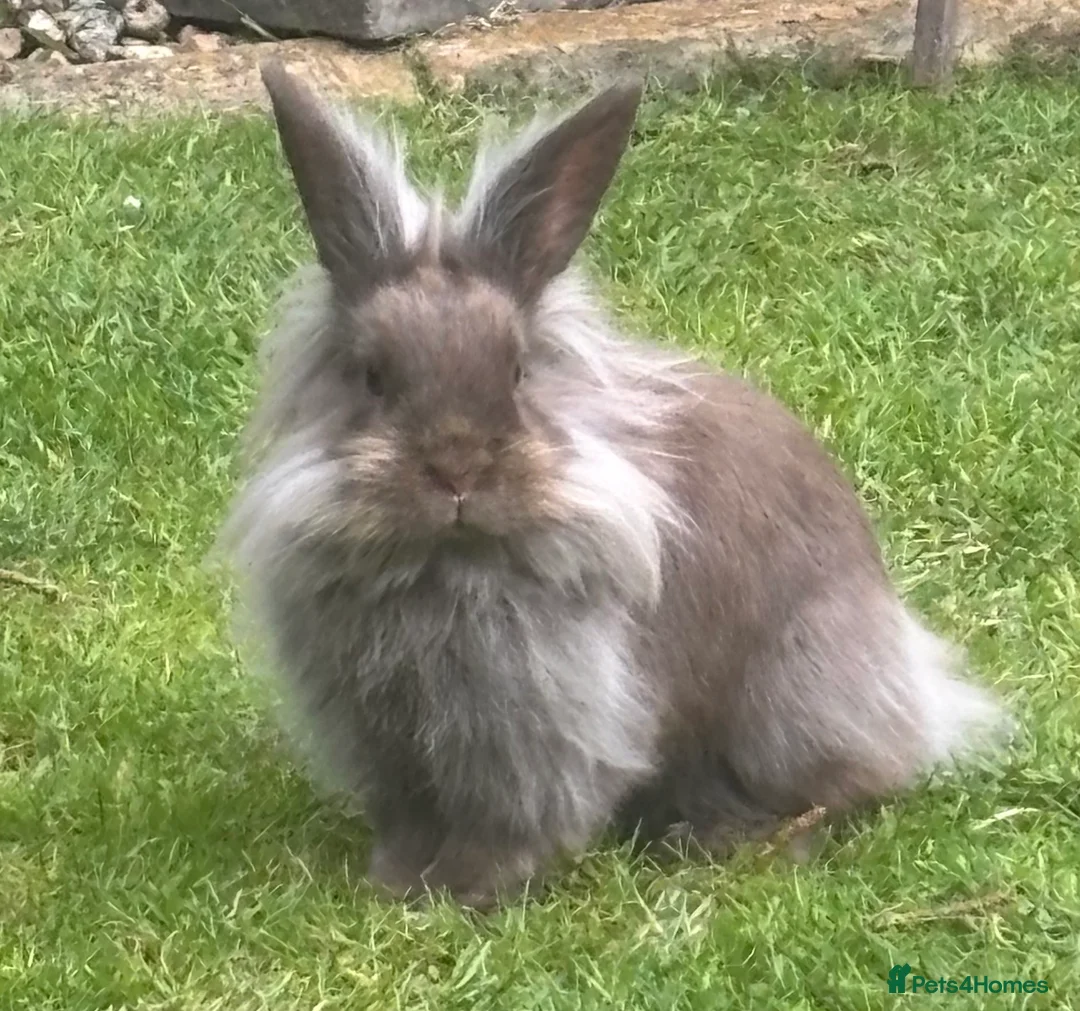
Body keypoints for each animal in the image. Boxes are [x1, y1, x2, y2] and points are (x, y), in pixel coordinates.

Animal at [220, 61, 1010, 910]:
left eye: (517, 370)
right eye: (372, 376)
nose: (457, 469)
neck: (442, 561)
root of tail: (914, 687)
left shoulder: (542, 727)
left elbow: (515, 819)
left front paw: (470, 889)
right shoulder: (388, 746)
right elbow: (410, 818)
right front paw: (397, 880)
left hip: (795, 702)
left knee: (845, 787)